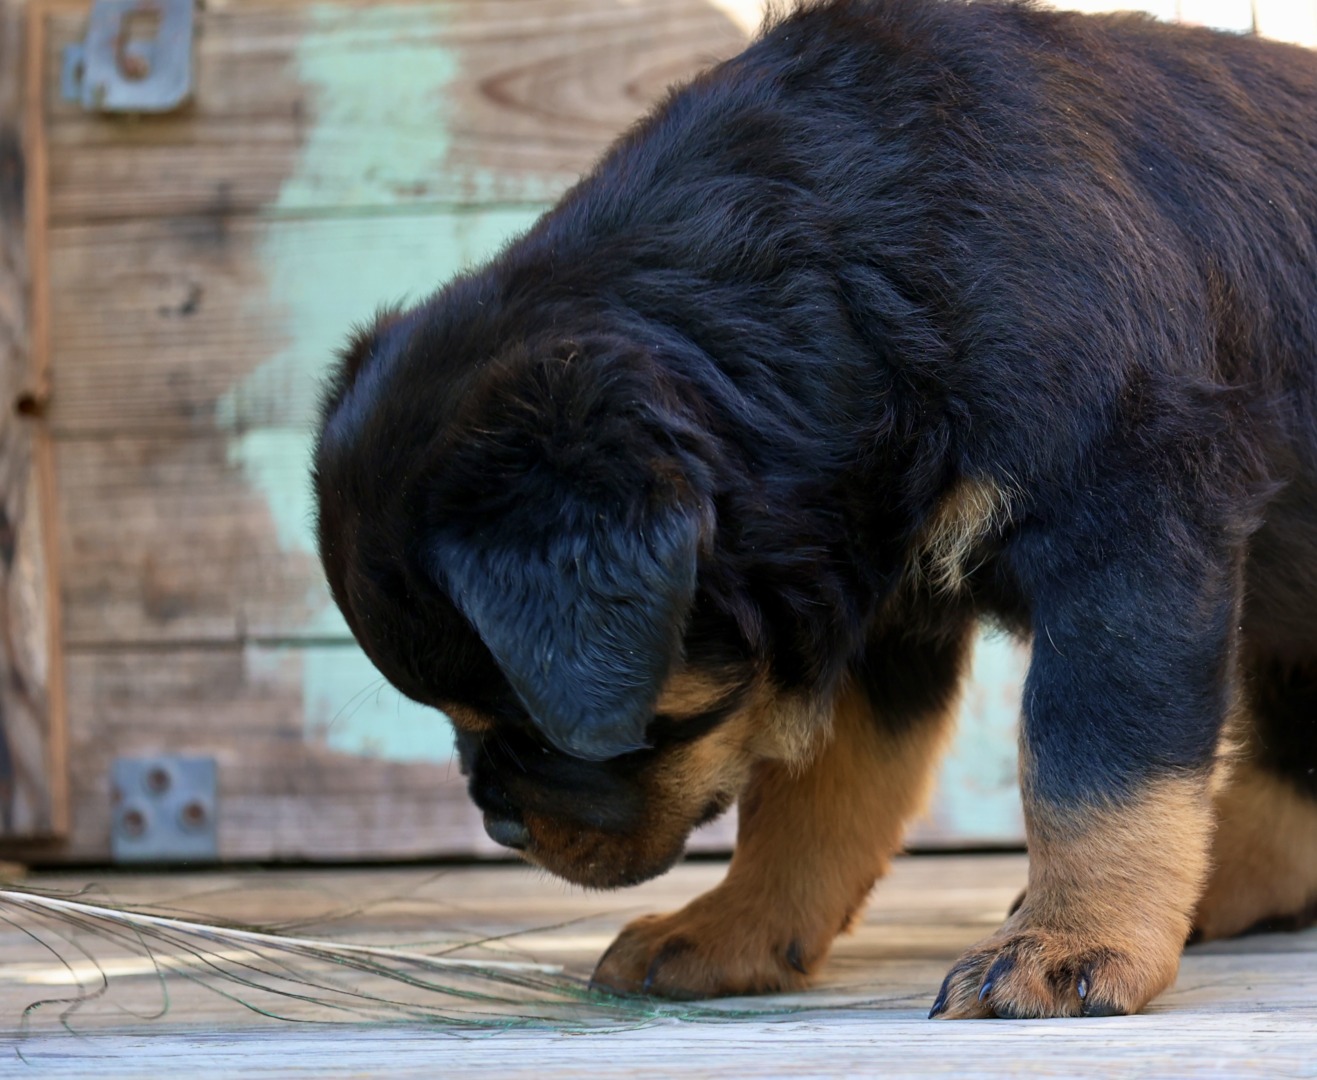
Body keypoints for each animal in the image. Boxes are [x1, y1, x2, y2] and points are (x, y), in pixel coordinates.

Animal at [312, 0, 1317, 1018]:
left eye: (527, 720)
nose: (501, 826)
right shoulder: (860, 599)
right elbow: (813, 796)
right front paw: (732, 928)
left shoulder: (1123, 535)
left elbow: (1092, 765)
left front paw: (1067, 944)